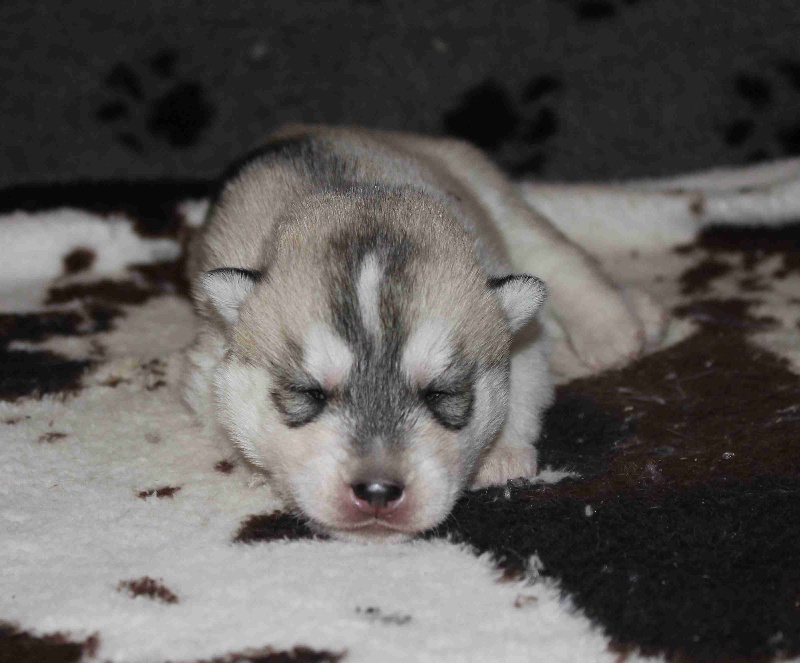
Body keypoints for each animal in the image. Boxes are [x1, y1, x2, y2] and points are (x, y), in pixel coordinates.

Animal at [186, 124, 792, 541]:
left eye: (443, 394)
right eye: (307, 393)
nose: (378, 492)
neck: (357, 193)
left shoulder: (516, 330)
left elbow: (524, 388)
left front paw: (500, 456)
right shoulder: (205, 360)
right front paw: (256, 470)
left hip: (501, 202)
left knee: (564, 261)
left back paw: (619, 326)